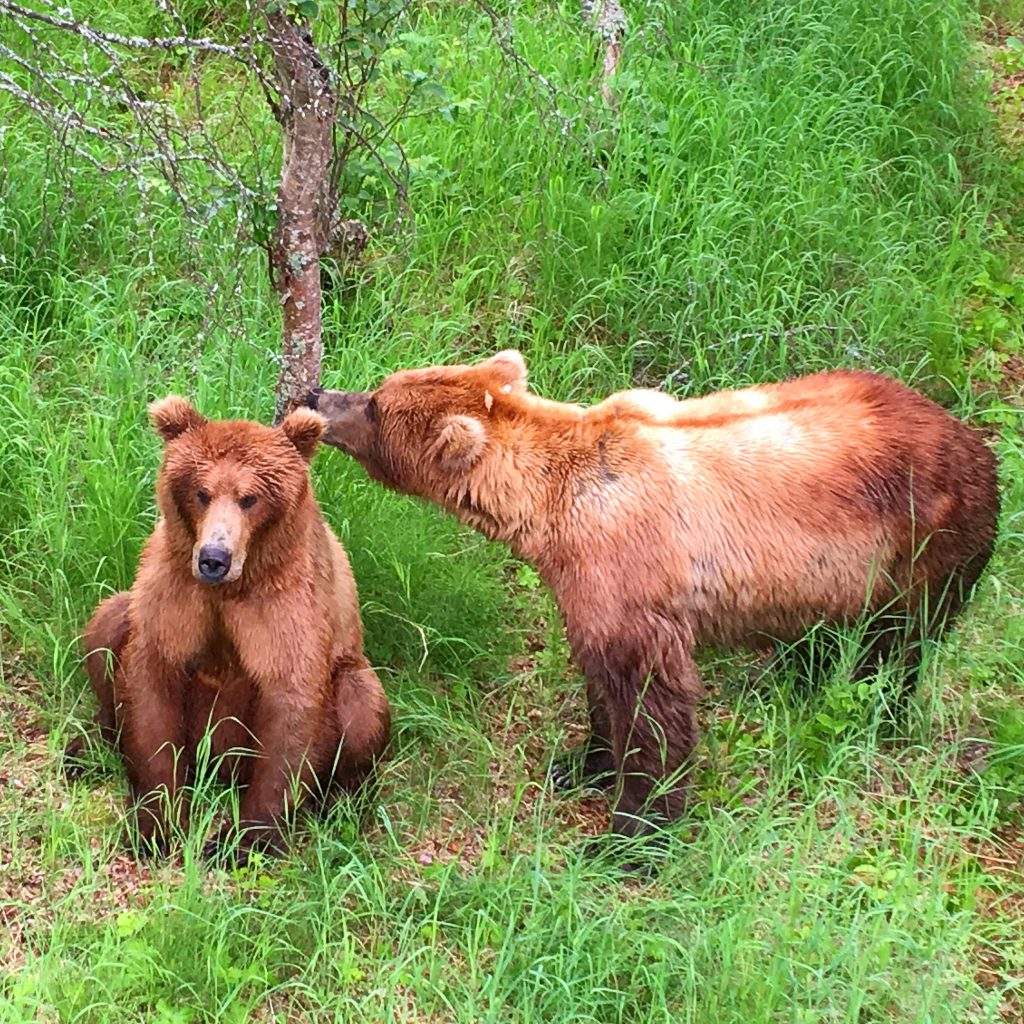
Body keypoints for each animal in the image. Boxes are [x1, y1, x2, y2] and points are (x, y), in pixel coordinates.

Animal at [71, 395, 391, 860]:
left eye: (250, 498)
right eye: (202, 492)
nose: (214, 557)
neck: (233, 585)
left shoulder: (283, 601)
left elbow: (291, 701)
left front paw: (243, 840)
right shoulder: (176, 590)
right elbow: (151, 680)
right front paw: (156, 825)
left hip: (344, 676)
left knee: (361, 703)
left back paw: (341, 801)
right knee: (106, 626)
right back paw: (87, 747)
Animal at [309, 352, 999, 847]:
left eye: (376, 406)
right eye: (382, 388)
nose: (319, 396)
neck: (550, 510)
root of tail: (976, 442)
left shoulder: (629, 575)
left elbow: (651, 703)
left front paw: (629, 833)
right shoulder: (586, 588)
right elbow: (598, 682)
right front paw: (581, 762)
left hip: (918, 547)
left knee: (897, 647)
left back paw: (872, 708)